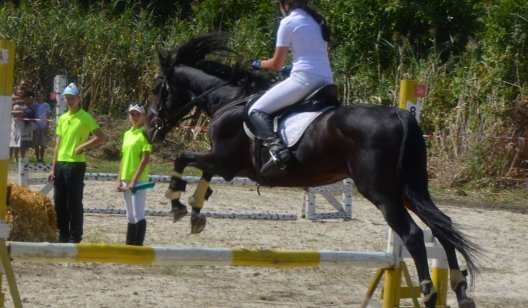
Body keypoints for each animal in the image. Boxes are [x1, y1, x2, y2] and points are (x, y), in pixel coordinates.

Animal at [144, 33, 478, 308]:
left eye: (158, 89)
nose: (150, 130)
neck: (228, 100)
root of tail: (399, 115)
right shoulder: (222, 163)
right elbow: (201, 175)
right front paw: (196, 212)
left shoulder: (223, 160)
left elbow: (182, 159)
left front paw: (177, 203)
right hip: (407, 188)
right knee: (442, 226)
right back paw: (460, 290)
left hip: (380, 191)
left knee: (413, 234)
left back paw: (429, 293)